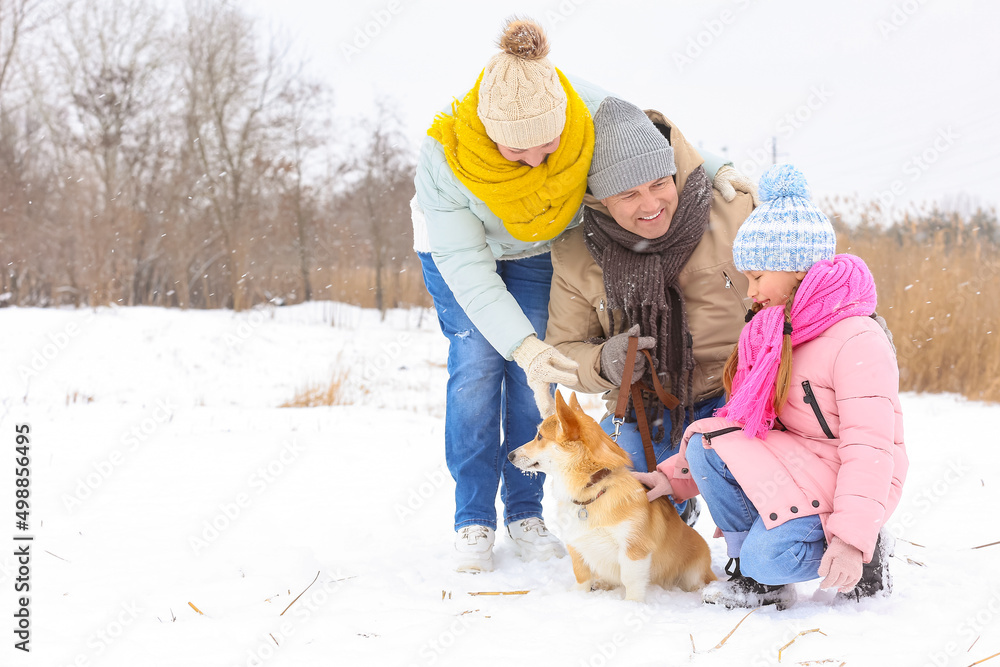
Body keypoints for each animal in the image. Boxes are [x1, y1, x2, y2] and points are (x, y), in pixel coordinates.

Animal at [512, 388, 716, 604]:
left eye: (539, 436)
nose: (509, 455)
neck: (593, 489)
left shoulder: (634, 547)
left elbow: (630, 579)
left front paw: (632, 604)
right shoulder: (576, 544)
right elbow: (581, 574)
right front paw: (577, 596)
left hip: (694, 570)